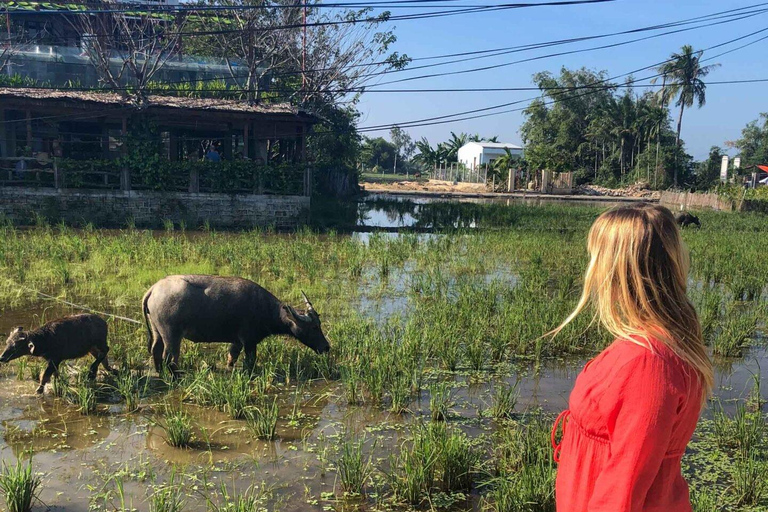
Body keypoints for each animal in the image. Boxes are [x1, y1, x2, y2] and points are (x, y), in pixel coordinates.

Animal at [141, 274, 330, 374]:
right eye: (314, 327)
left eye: (319, 324)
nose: (326, 347)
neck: (265, 308)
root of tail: (153, 289)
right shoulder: (249, 341)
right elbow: (250, 361)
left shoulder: (237, 341)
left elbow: (232, 356)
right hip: (171, 335)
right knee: (169, 356)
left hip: (157, 331)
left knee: (156, 350)